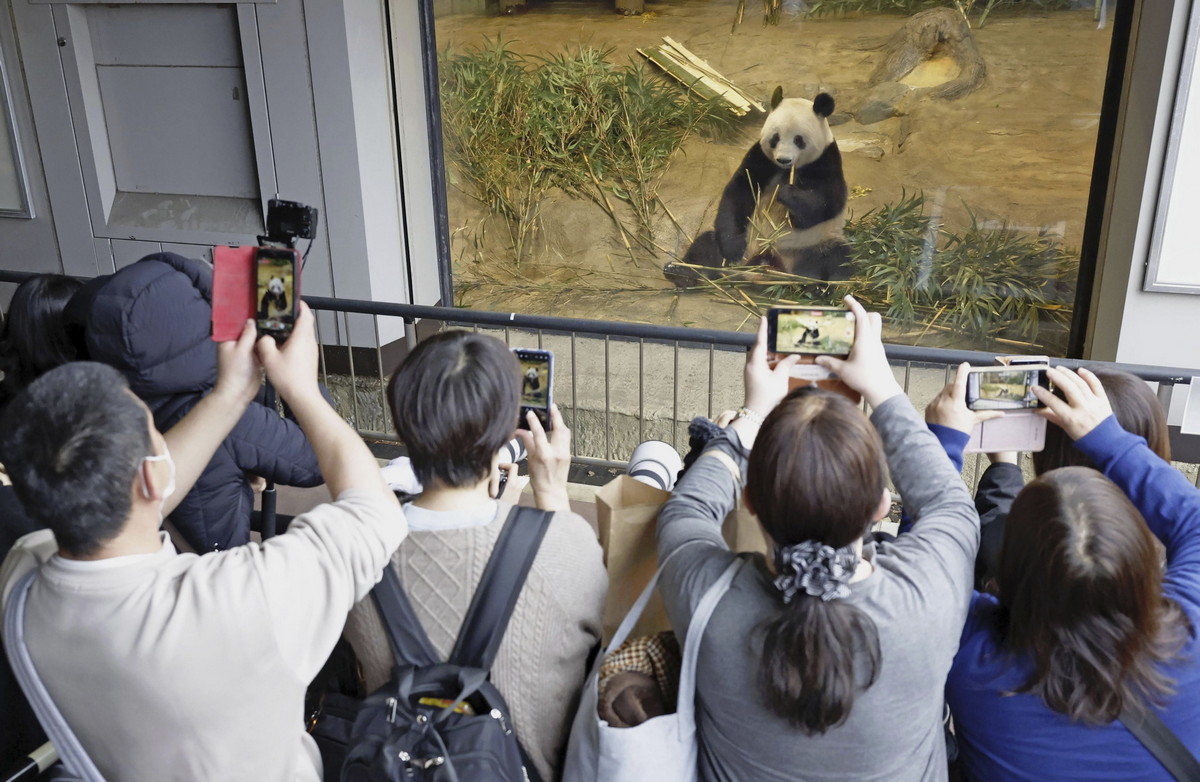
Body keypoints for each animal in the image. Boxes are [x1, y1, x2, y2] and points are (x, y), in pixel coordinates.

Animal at [667, 88, 854, 289]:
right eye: (775, 138)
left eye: (799, 140)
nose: (784, 159)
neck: (785, 170)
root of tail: (767, 262)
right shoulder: (760, 157)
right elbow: (739, 192)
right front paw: (732, 248)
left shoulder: (826, 160)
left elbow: (826, 203)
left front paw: (787, 194)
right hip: (747, 244)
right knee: (707, 246)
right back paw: (682, 272)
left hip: (811, 243)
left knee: (835, 258)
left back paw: (819, 287)